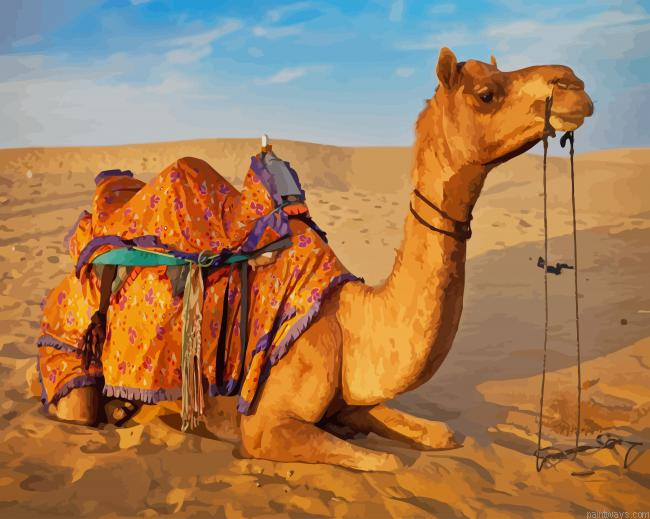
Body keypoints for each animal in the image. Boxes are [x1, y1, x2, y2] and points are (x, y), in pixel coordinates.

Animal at [52, 48, 593, 471]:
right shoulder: (265, 427)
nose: (574, 83)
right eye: (486, 94)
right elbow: (388, 460)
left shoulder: (348, 400)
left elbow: (443, 434)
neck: (352, 324)